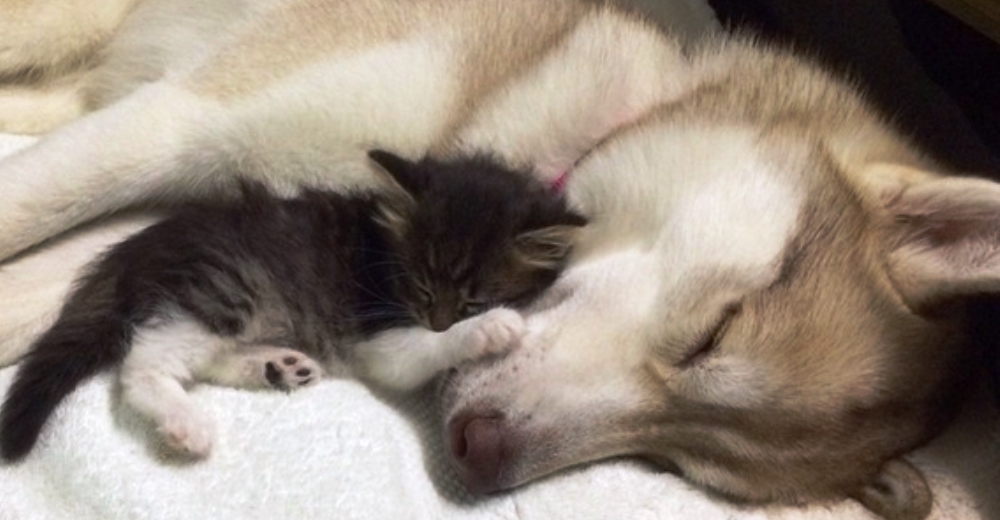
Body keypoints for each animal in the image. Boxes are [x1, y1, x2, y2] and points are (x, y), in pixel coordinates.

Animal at [0, 150, 584, 460]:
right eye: (421, 289)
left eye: (469, 299)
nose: (439, 318)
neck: (384, 252)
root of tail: (133, 249)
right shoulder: (378, 335)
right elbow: (417, 350)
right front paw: (493, 330)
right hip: (225, 287)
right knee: (143, 363)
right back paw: (187, 421)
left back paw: (276, 366)